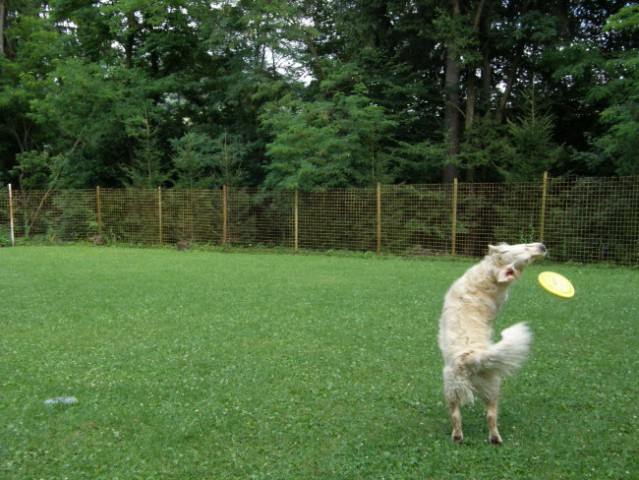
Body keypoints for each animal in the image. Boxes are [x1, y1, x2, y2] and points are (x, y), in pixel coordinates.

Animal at [438, 242, 548, 444]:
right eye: (526, 249)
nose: (542, 246)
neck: (489, 277)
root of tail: (471, 357)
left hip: (461, 387)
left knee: (465, 415)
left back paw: (472, 437)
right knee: (485, 415)